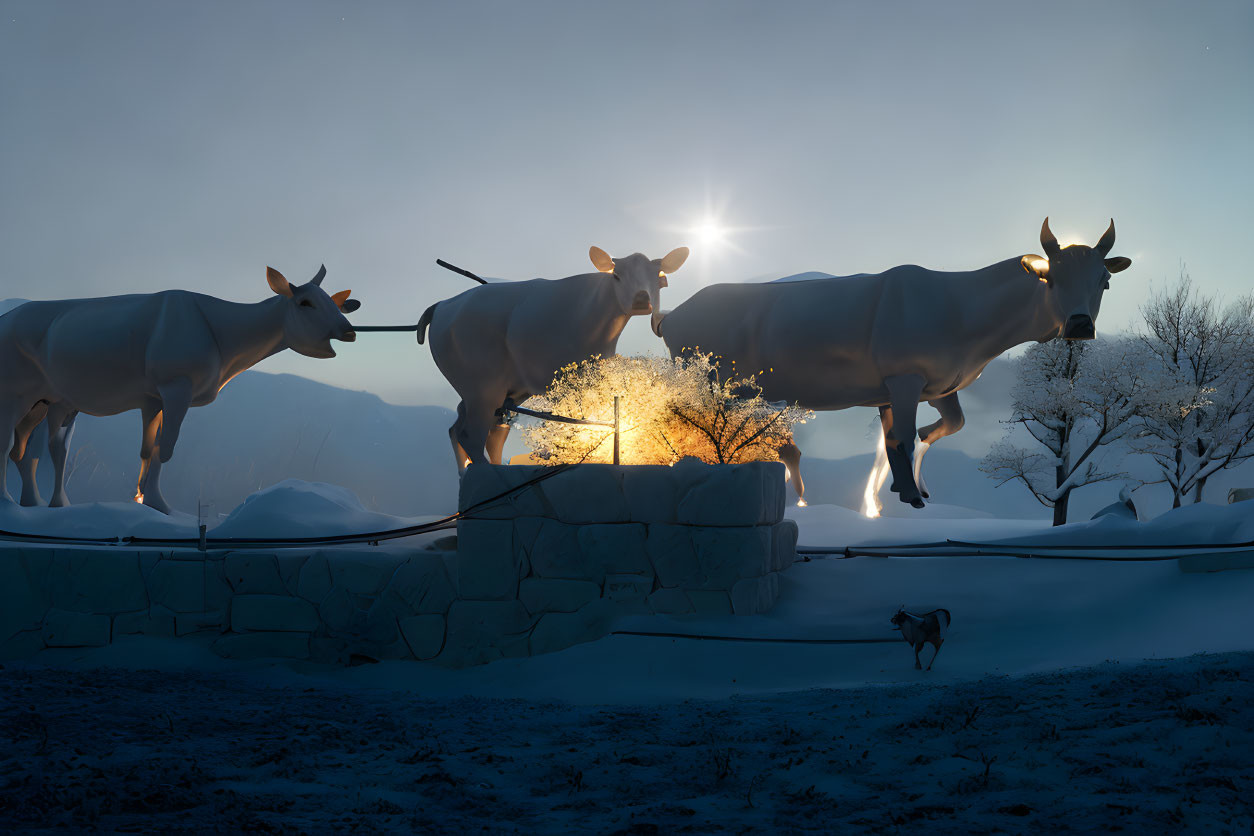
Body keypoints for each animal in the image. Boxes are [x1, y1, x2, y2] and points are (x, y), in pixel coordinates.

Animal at [2, 264, 361, 513]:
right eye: (305, 302)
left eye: (336, 304)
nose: (348, 331)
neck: (226, 344)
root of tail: (8, 316)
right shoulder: (177, 386)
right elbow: (167, 447)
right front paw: (159, 504)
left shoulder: (153, 398)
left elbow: (148, 448)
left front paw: (142, 496)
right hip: (16, 393)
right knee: (11, 445)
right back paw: (11, 501)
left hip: (48, 401)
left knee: (35, 449)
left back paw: (41, 503)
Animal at [421, 245, 697, 473]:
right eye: (617, 275)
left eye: (657, 275)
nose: (641, 299)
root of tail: (442, 305)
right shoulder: (561, 378)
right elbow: (570, 423)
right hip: (482, 388)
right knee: (471, 434)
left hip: (500, 391)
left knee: (474, 429)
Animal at [662, 219, 1133, 506]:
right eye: (1050, 279)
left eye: (1105, 280)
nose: (1080, 325)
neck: (963, 312)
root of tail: (673, 314)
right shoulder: (904, 377)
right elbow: (904, 437)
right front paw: (910, 494)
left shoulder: (934, 385)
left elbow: (935, 429)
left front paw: (910, 482)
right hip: (709, 383)